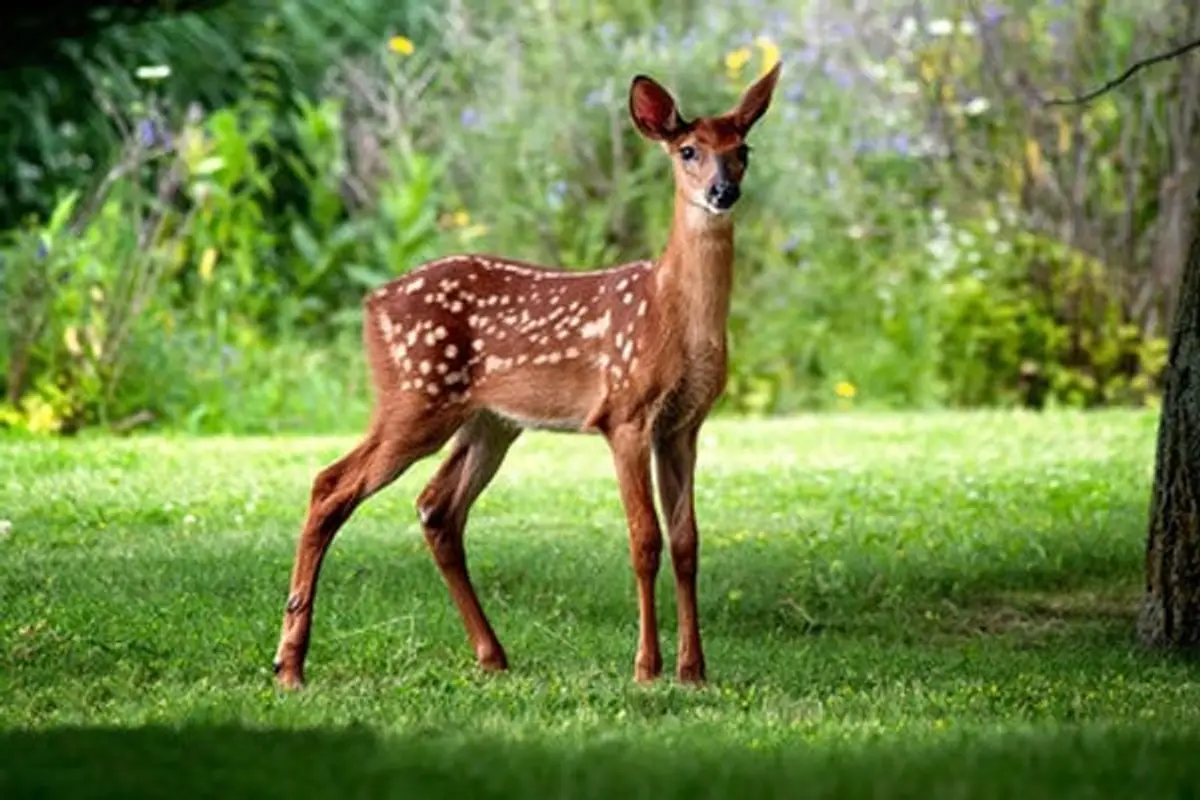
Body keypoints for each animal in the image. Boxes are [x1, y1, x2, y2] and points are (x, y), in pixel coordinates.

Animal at [273, 64, 782, 690]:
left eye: (743, 151)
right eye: (688, 150)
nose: (722, 192)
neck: (673, 313)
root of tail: (370, 304)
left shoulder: (684, 424)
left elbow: (687, 541)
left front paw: (693, 670)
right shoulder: (625, 412)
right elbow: (644, 538)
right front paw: (646, 667)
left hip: (489, 422)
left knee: (437, 507)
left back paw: (491, 655)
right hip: (416, 397)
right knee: (330, 485)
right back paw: (290, 664)